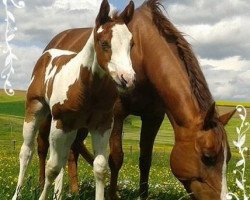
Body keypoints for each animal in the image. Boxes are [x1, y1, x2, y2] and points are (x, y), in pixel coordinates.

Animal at [11, 0, 136, 199]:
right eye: (104, 43)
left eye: (131, 44)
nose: (128, 79)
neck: (87, 88)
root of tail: (47, 54)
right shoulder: (60, 124)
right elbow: (52, 168)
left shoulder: (102, 126)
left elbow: (100, 167)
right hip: (36, 111)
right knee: (27, 151)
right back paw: (18, 193)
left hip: (72, 129)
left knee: (62, 157)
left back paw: (59, 193)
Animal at [38, 0, 235, 200]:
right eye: (208, 157)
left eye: (228, 158)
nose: (223, 198)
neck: (143, 56)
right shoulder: (117, 114)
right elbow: (116, 158)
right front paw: (113, 194)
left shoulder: (153, 117)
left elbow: (145, 159)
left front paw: (142, 195)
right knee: (42, 144)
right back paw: (41, 184)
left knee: (74, 147)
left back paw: (75, 189)